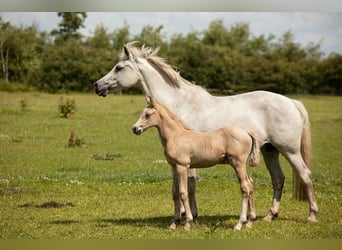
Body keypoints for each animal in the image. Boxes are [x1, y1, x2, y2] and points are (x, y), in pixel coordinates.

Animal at [133, 97, 260, 230]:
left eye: (147, 115)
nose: (135, 129)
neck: (176, 136)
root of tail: (247, 133)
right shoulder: (174, 167)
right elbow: (175, 193)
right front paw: (174, 223)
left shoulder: (182, 166)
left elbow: (183, 192)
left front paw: (188, 223)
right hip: (241, 166)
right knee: (250, 184)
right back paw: (250, 221)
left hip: (238, 164)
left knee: (245, 187)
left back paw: (239, 224)